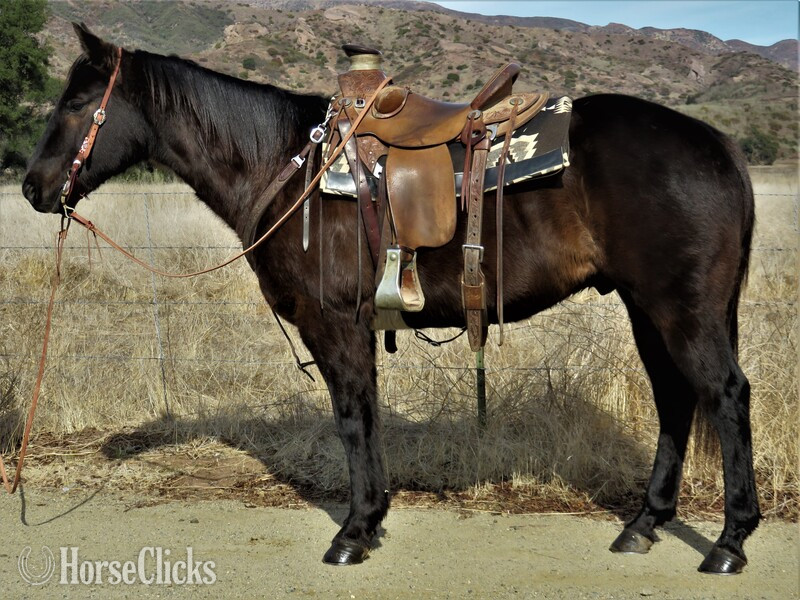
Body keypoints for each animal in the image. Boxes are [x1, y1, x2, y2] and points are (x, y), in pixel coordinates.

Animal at [22, 24, 758, 574]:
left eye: (74, 104)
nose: (32, 187)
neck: (289, 166)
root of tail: (719, 143)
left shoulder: (333, 327)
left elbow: (352, 418)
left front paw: (352, 532)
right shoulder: (353, 329)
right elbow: (369, 416)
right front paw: (372, 519)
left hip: (681, 309)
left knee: (723, 395)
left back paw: (728, 542)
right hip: (647, 307)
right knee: (675, 398)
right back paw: (644, 523)